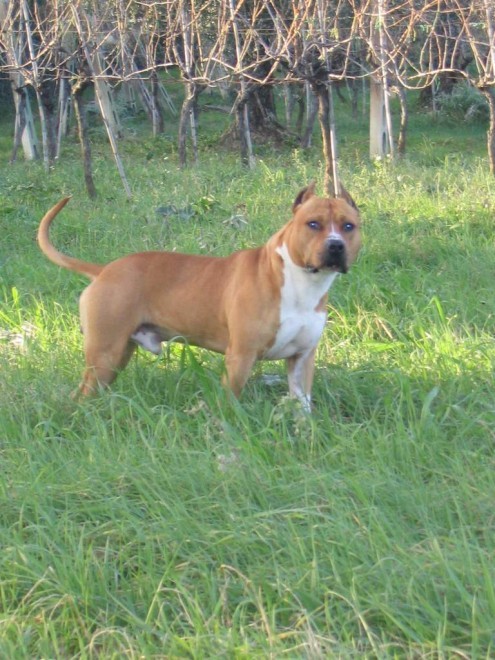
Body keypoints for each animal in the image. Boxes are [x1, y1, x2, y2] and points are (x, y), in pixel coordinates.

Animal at [37, 184, 361, 409]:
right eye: (313, 224)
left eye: (349, 226)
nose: (335, 246)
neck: (302, 282)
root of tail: (105, 270)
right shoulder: (240, 357)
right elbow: (230, 404)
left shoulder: (302, 360)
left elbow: (303, 408)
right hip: (105, 354)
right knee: (81, 394)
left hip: (115, 355)